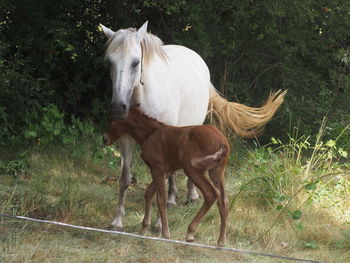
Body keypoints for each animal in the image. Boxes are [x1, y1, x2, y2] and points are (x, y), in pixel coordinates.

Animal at [101, 21, 288, 231]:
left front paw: (159, 223)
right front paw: (117, 220)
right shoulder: (126, 139)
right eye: (110, 62)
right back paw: (172, 199)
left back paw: (191, 195)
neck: (142, 94)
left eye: (135, 62)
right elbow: (125, 178)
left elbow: (159, 184)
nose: (118, 107)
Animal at [103, 105, 230, 248]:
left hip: (193, 170)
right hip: (216, 172)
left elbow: (160, 199)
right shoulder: (167, 170)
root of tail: (223, 141)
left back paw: (190, 233)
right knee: (224, 201)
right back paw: (221, 242)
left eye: (112, 121)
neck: (150, 134)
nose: (104, 139)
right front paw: (144, 228)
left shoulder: (158, 169)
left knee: (211, 194)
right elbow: (149, 193)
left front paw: (165, 233)